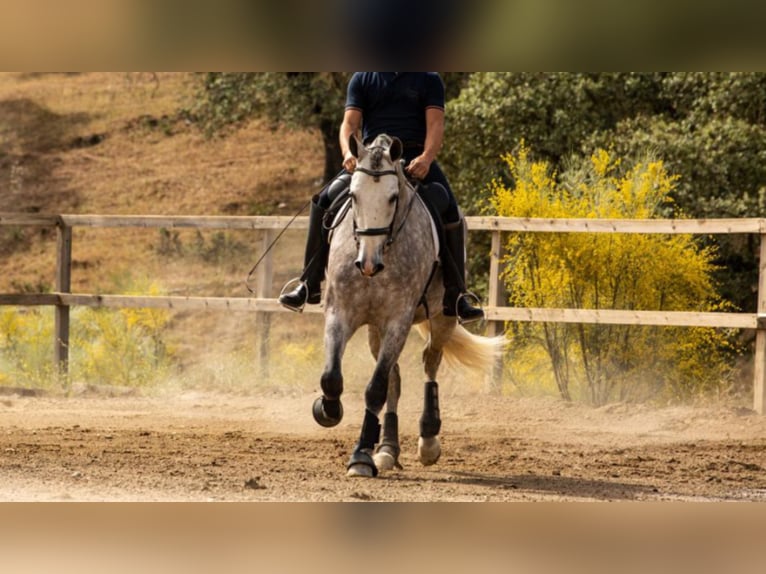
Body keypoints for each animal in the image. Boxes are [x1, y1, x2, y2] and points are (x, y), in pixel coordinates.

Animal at [308, 133, 508, 480]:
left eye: (392, 198)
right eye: (353, 196)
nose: (368, 264)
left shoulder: (398, 322)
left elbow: (374, 389)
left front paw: (361, 456)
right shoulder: (339, 314)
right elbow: (332, 377)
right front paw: (328, 411)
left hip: (442, 318)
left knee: (430, 364)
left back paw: (428, 439)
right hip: (376, 329)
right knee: (395, 378)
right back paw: (388, 449)